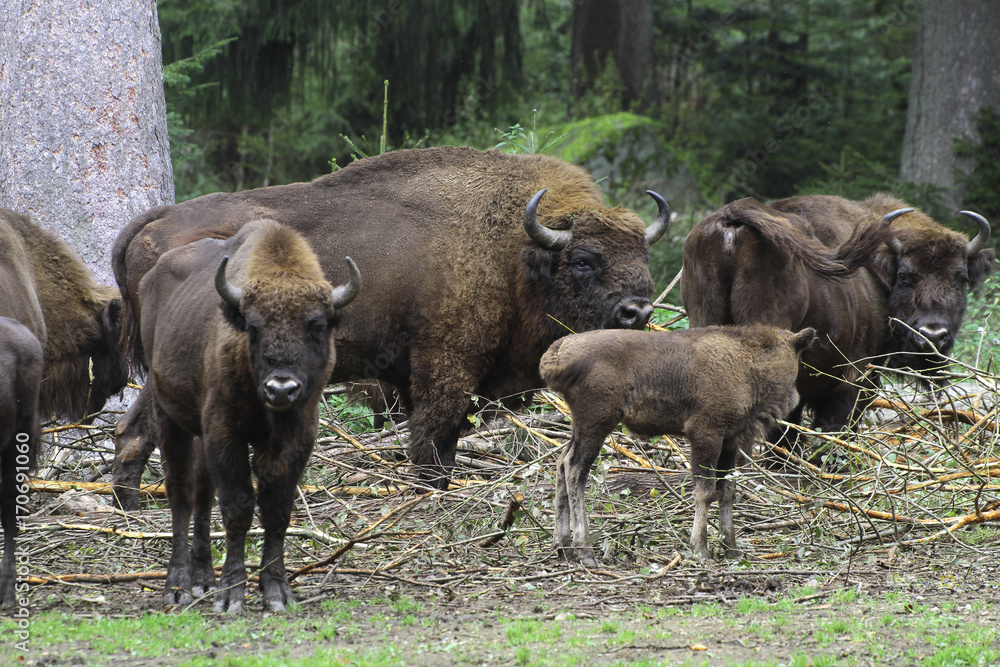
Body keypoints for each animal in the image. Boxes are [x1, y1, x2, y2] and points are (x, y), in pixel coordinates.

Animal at [111, 145, 672, 500]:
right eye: (583, 260)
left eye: (642, 253)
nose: (639, 312)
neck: (513, 251)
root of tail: (158, 221)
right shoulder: (445, 366)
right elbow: (432, 440)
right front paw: (429, 493)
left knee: (135, 428)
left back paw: (131, 504)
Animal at [139, 220, 362, 616]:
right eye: (254, 328)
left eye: (317, 326)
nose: (281, 389)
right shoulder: (225, 432)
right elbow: (238, 507)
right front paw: (231, 595)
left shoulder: (297, 438)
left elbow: (277, 510)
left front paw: (277, 592)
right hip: (169, 416)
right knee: (180, 493)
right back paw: (177, 587)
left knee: (202, 492)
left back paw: (202, 579)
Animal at [544, 326, 816, 568]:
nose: (794, 398)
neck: (748, 364)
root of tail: (558, 350)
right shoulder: (704, 433)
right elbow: (705, 492)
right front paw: (700, 550)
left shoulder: (730, 440)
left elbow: (727, 491)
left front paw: (732, 548)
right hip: (596, 423)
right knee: (575, 470)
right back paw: (584, 550)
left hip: (579, 428)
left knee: (561, 462)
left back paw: (562, 546)